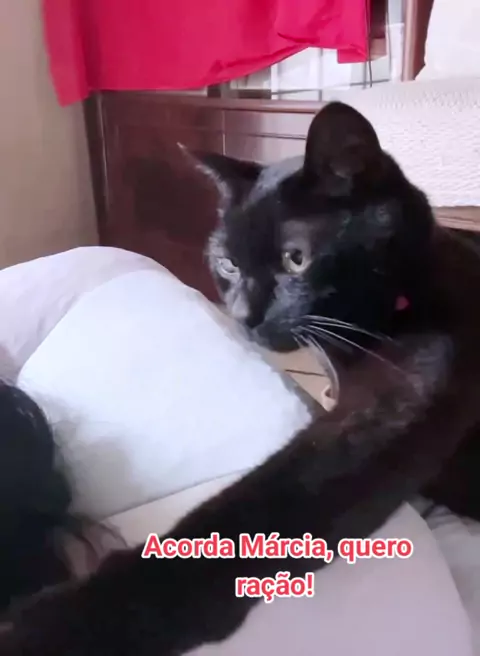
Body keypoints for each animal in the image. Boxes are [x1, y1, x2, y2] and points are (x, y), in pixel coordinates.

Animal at [1, 101, 480, 655]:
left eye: (297, 258)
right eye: (228, 263)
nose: (243, 315)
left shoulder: (389, 408)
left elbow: (257, 511)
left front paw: (54, 627)